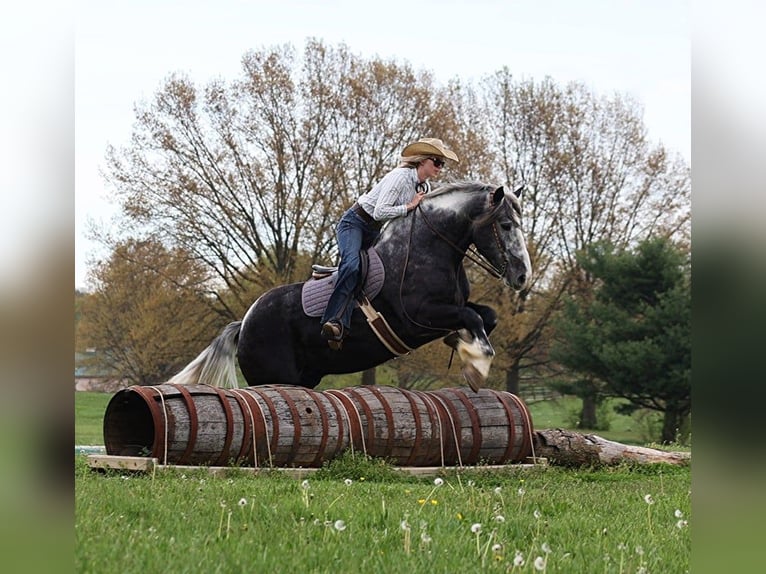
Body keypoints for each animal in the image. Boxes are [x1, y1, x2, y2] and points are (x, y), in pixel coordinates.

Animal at [168, 181, 531, 391]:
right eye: (505, 224)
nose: (523, 276)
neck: (427, 247)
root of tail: (243, 324)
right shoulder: (419, 317)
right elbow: (473, 318)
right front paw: (477, 366)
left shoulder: (451, 308)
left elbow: (486, 316)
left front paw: (462, 346)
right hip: (274, 377)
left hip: (304, 377)